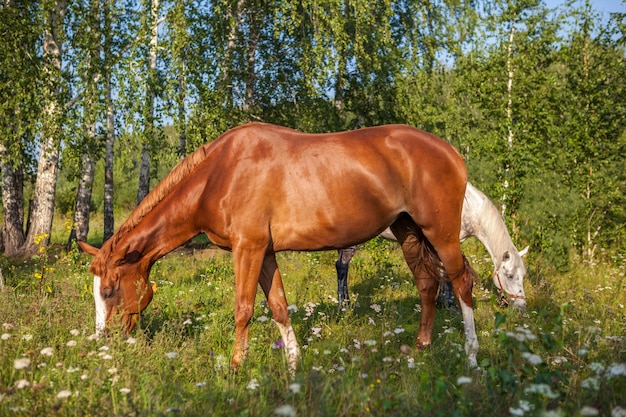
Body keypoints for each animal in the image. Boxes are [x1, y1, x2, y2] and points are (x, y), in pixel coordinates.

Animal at [79, 121, 478, 370]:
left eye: (110, 290)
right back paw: (422, 347)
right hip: (409, 231)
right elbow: (279, 307)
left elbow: (244, 309)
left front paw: (236, 366)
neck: (220, 174)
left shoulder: (248, 248)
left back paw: (472, 358)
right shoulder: (265, 252)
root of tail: (451, 152)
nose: (103, 342)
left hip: (440, 234)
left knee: (461, 283)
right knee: (427, 284)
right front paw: (294, 365)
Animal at [336, 182, 528, 308]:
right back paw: (344, 306)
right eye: (509, 275)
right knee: (342, 267)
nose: (521, 305)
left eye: (523, 275)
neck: (469, 208)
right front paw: (449, 305)